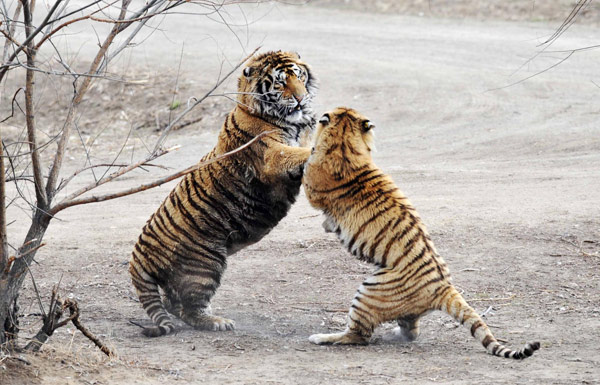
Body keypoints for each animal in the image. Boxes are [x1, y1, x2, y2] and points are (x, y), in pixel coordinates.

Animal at [129, 51, 318, 336]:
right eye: (280, 82)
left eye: (299, 76)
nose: (300, 98)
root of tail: (138, 256)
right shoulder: (271, 154)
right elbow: (295, 153)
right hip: (204, 264)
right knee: (189, 309)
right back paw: (218, 322)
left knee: (175, 305)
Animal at [302, 106, 540, 358]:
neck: (344, 142)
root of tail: (443, 288)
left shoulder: (312, 187)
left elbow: (305, 164)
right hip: (402, 307)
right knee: (410, 331)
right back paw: (392, 335)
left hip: (369, 292)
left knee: (358, 336)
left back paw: (321, 338)